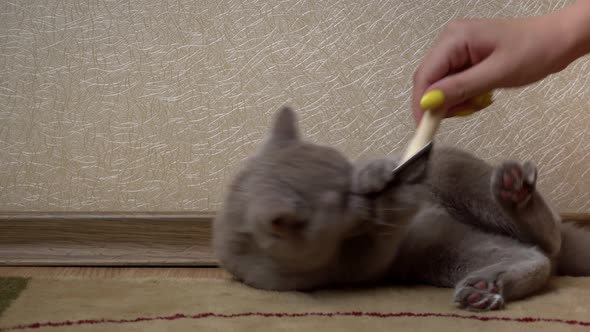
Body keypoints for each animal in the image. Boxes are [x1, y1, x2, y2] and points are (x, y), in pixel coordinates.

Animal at [214, 106, 590, 312]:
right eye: (341, 200)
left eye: (348, 168)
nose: (365, 194)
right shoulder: (350, 268)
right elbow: (378, 241)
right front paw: (397, 192)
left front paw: (381, 173)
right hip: (441, 254)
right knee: (538, 255)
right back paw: (485, 286)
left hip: (453, 174)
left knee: (547, 239)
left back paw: (511, 193)